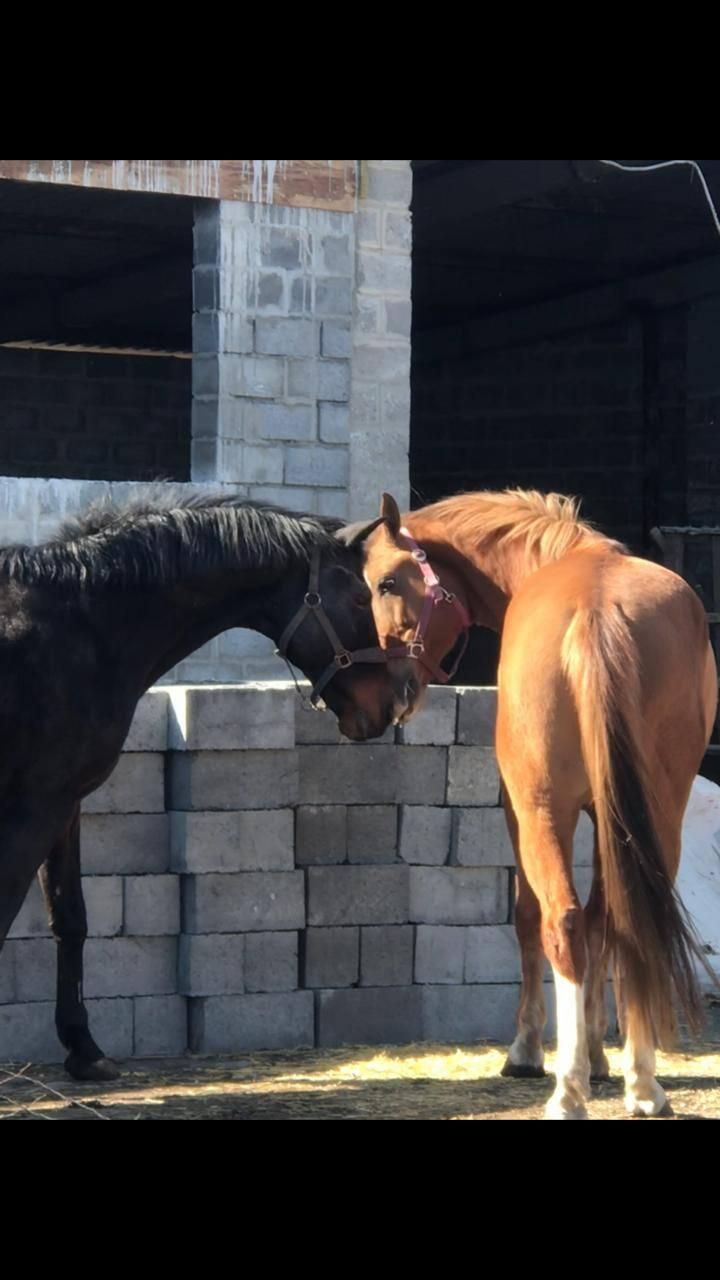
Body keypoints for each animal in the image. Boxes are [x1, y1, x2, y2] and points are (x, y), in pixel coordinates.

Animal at [0, 488, 395, 1081]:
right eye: (358, 599)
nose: (387, 707)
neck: (82, 625)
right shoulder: (35, 808)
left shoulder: (64, 807)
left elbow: (70, 918)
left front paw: (84, 1050)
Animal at [342, 488, 718, 1119]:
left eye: (387, 582)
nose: (388, 695)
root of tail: (595, 611)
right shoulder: (612, 820)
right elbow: (603, 921)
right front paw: (600, 1055)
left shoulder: (517, 812)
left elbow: (528, 916)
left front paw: (533, 1050)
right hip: (658, 812)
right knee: (627, 920)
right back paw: (642, 1084)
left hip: (543, 812)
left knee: (558, 920)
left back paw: (566, 1088)